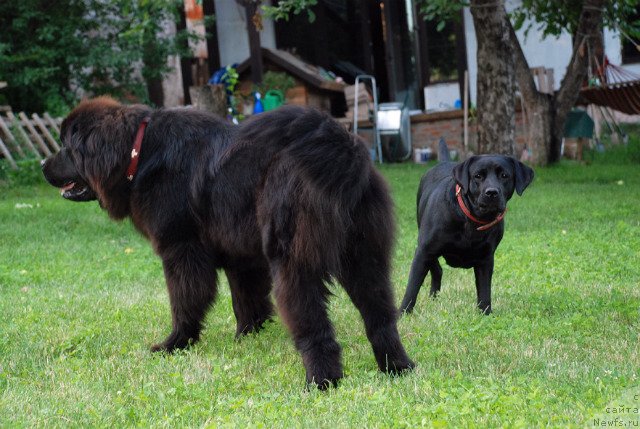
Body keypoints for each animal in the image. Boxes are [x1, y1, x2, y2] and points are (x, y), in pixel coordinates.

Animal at [41, 97, 410, 388]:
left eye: (66, 147)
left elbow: (185, 302)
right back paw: (397, 367)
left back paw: (321, 381)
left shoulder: (181, 252)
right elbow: (246, 301)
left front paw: (175, 343)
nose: (43, 164)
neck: (138, 152)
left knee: (315, 327)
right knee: (380, 318)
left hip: (295, 263)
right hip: (365, 260)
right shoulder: (241, 258)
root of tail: (339, 144)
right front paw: (248, 337)